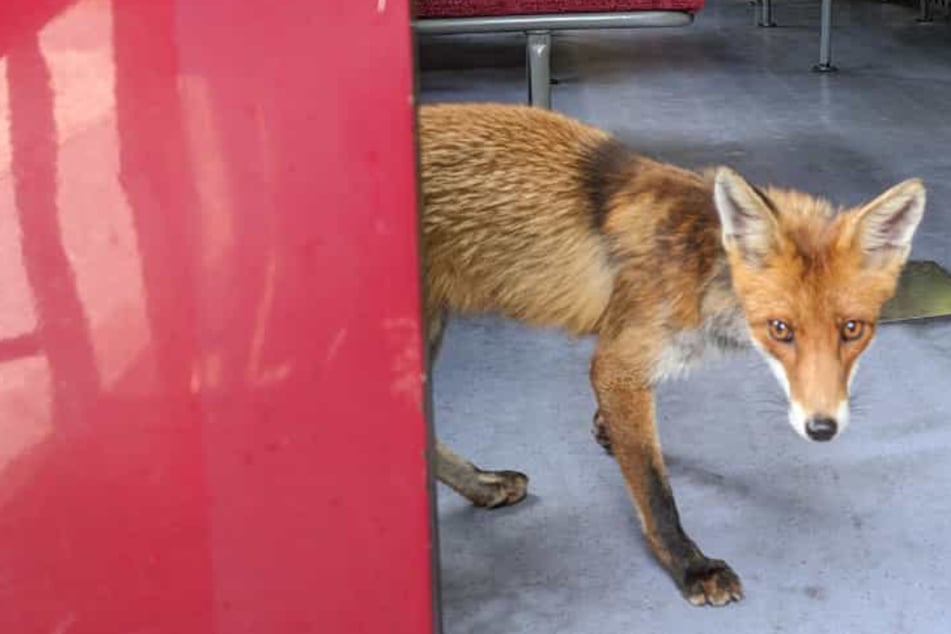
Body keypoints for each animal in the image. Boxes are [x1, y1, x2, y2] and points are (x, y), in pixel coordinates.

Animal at [418, 101, 928, 604]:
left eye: (852, 329)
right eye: (780, 329)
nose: (822, 428)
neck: (699, 266)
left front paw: (605, 431)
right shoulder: (617, 363)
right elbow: (654, 488)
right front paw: (690, 565)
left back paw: (483, 486)